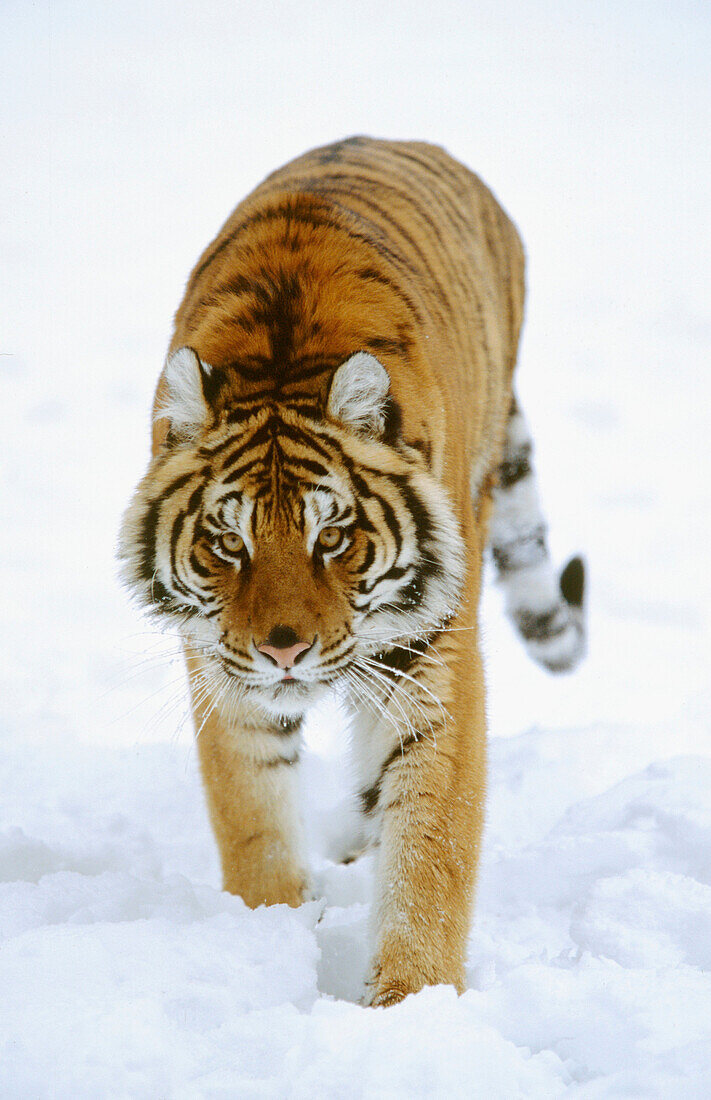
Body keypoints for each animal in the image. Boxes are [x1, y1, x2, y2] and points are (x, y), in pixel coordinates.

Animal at [119, 135, 589, 1007]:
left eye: (332, 537)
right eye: (228, 543)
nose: (283, 651)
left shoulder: (432, 658)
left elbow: (431, 845)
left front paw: (411, 1002)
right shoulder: (222, 668)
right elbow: (253, 815)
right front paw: (270, 931)